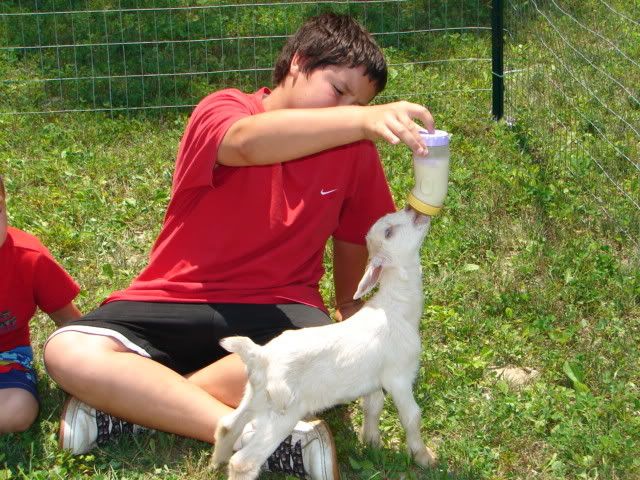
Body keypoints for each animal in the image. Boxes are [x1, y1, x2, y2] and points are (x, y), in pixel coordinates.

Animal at [211, 206, 437, 479]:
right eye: (390, 232)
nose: (414, 211)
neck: (397, 307)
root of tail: (259, 355)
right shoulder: (399, 376)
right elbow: (412, 416)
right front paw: (424, 457)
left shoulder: (372, 380)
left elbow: (373, 406)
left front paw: (371, 442)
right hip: (282, 413)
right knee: (244, 461)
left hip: (255, 396)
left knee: (226, 425)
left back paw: (216, 462)